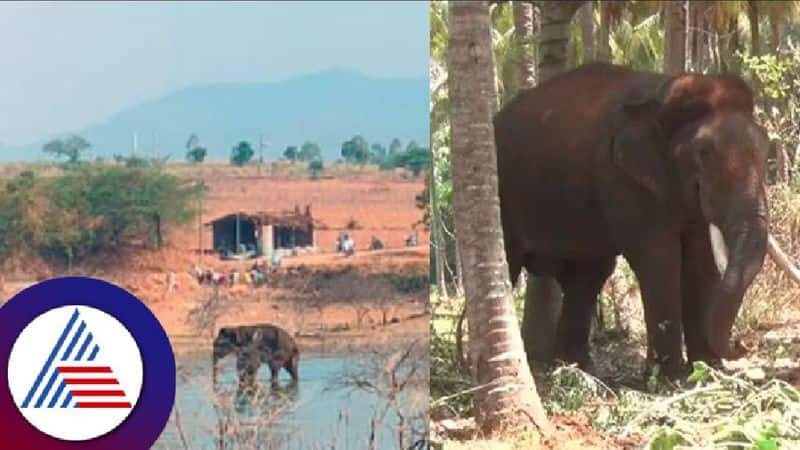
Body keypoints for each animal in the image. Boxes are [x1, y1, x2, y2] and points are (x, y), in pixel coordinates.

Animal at [494, 61, 768, 378]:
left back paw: (576, 368)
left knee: (588, 274)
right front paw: (669, 377)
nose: (741, 344)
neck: (664, 91)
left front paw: (707, 368)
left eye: (766, 149)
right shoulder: (622, 179)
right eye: (704, 153)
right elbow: (660, 259)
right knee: (513, 263)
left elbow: (699, 259)